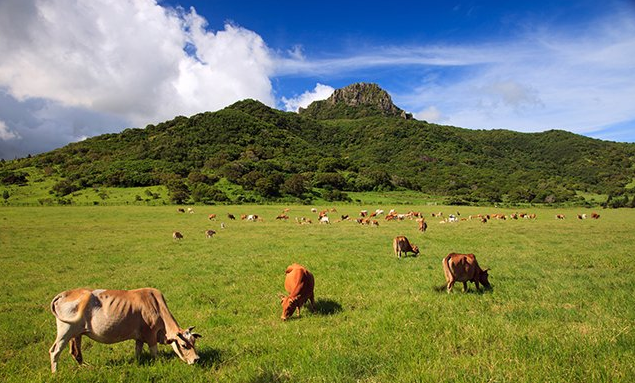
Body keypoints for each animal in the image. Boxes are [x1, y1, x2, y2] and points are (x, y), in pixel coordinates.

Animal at [48, 290, 200, 374]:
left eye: (194, 342)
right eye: (184, 345)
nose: (196, 359)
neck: (156, 305)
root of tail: (64, 294)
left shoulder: (140, 337)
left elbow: (138, 350)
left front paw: (137, 362)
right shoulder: (150, 334)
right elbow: (154, 352)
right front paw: (158, 362)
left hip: (76, 333)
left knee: (76, 352)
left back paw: (85, 366)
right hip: (65, 332)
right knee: (55, 351)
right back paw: (55, 372)